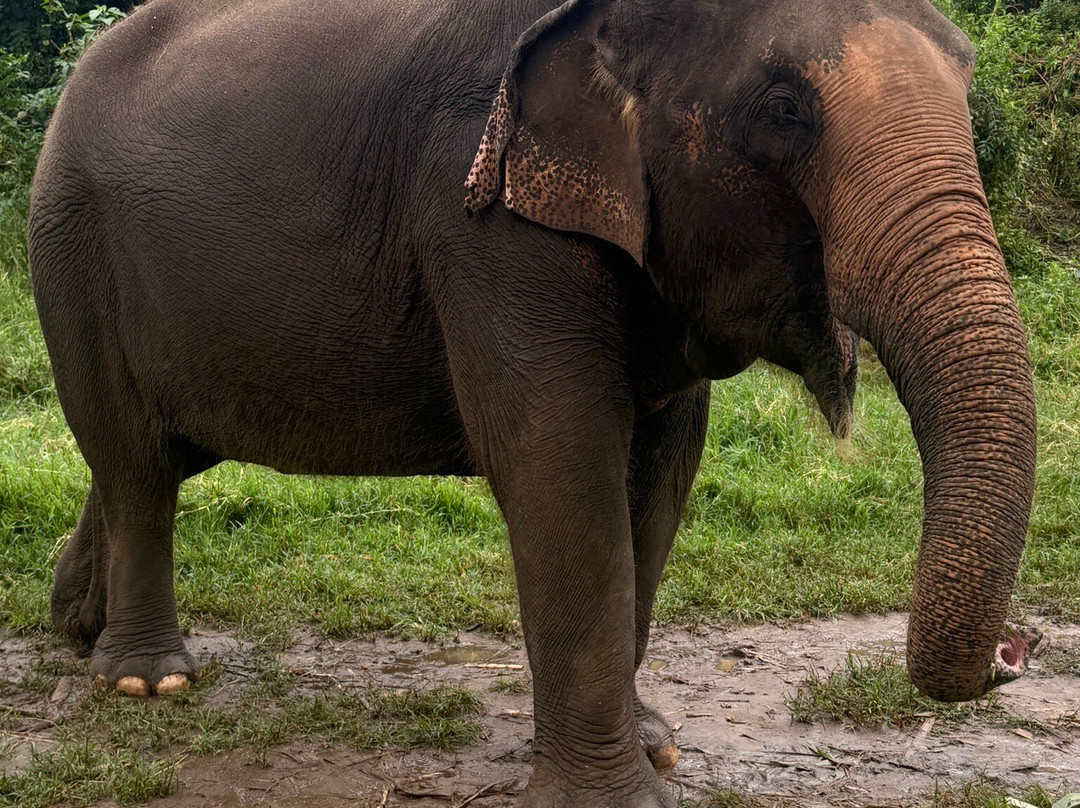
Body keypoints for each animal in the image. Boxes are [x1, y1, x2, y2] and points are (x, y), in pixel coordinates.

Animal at [28, 0, 1038, 805]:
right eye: (785, 111)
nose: (1014, 653)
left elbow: (661, 477)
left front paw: (657, 748)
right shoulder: (484, 223)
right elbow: (561, 463)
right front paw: (617, 798)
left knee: (150, 456)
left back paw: (78, 628)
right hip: (71, 249)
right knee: (133, 458)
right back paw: (145, 684)